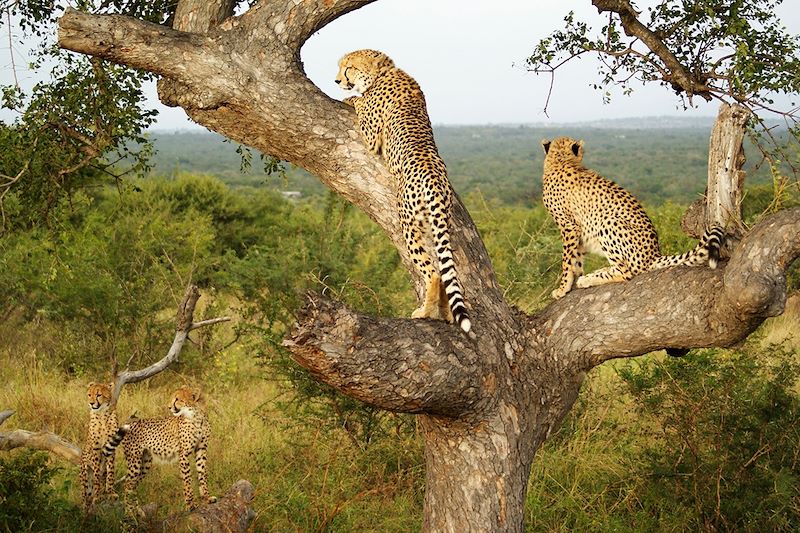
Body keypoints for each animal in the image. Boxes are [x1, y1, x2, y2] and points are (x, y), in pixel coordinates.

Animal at [336, 48, 472, 332]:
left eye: (348, 67)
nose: (337, 80)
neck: (385, 71)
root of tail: (434, 179)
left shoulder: (371, 135)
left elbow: (360, 102)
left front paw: (350, 98)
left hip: (408, 222)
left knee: (433, 272)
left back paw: (425, 312)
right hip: (438, 223)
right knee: (444, 270)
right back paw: (445, 313)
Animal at [540, 134, 720, 300]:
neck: (560, 161)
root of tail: (653, 255)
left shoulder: (569, 226)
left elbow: (567, 260)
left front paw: (563, 287)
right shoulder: (576, 228)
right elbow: (576, 257)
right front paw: (572, 279)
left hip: (607, 222)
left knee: (625, 272)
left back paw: (590, 279)